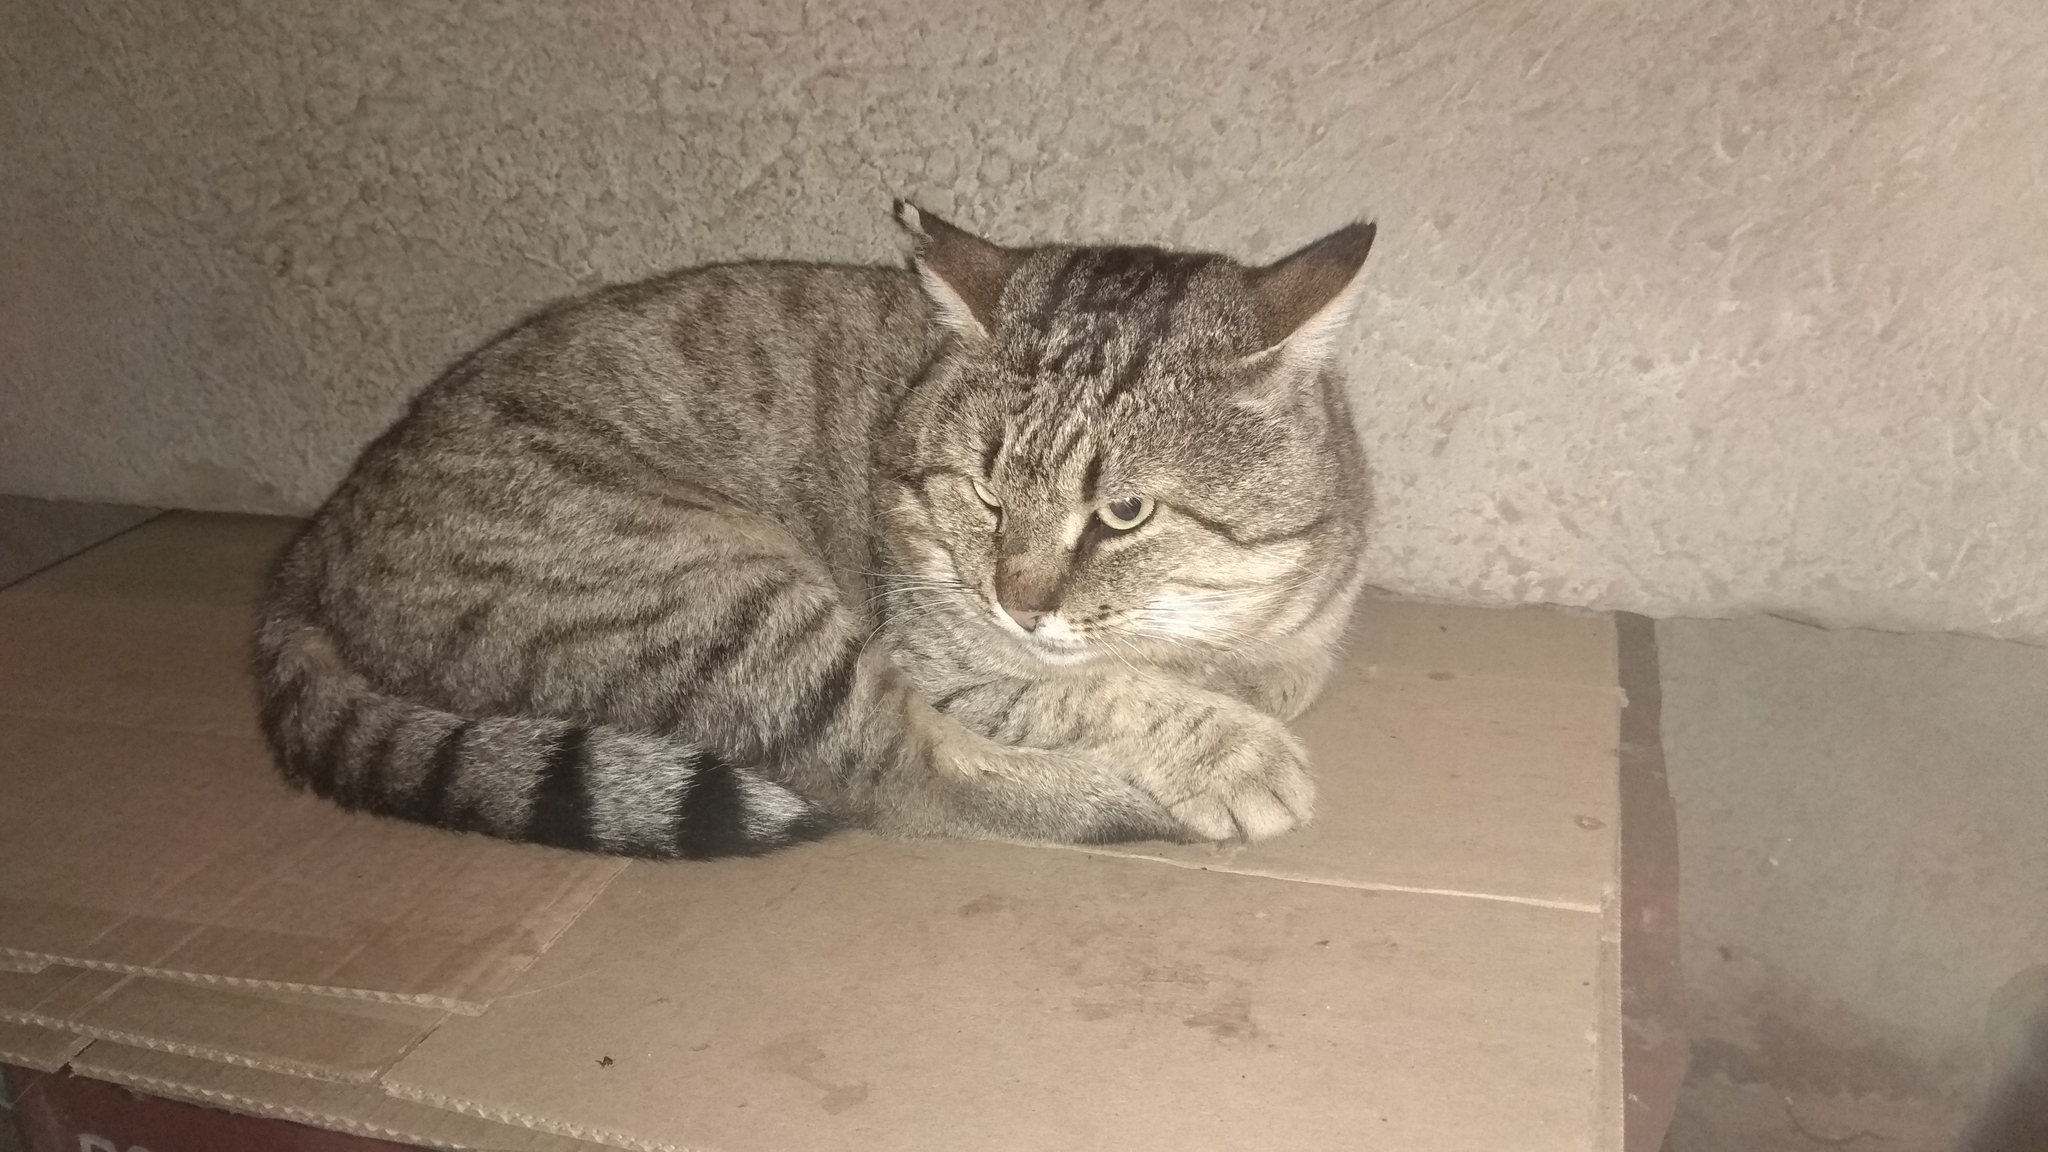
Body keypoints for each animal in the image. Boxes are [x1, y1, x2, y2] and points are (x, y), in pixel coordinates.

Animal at [255, 202, 1376, 858]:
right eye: (984, 492)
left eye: (1123, 511)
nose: (1016, 602)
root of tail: (309, 551)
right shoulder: (941, 655)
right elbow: (1091, 691)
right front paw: (1223, 748)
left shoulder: (1302, 635)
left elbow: (1266, 669)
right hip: (724, 604)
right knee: (901, 779)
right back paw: (1121, 801)